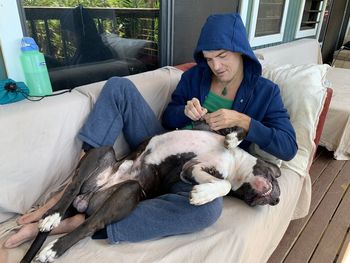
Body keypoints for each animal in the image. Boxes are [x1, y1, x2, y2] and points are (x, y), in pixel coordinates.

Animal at [19, 124, 282, 263]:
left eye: (248, 199)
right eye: (276, 179)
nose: (277, 200)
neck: (234, 166)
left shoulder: (191, 170)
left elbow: (223, 184)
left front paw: (201, 195)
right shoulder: (200, 138)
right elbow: (240, 129)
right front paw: (232, 139)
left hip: (127, 190)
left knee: (90, 223)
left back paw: (54, 247)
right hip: (104, 152)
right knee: (73, 186)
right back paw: (51, 216)